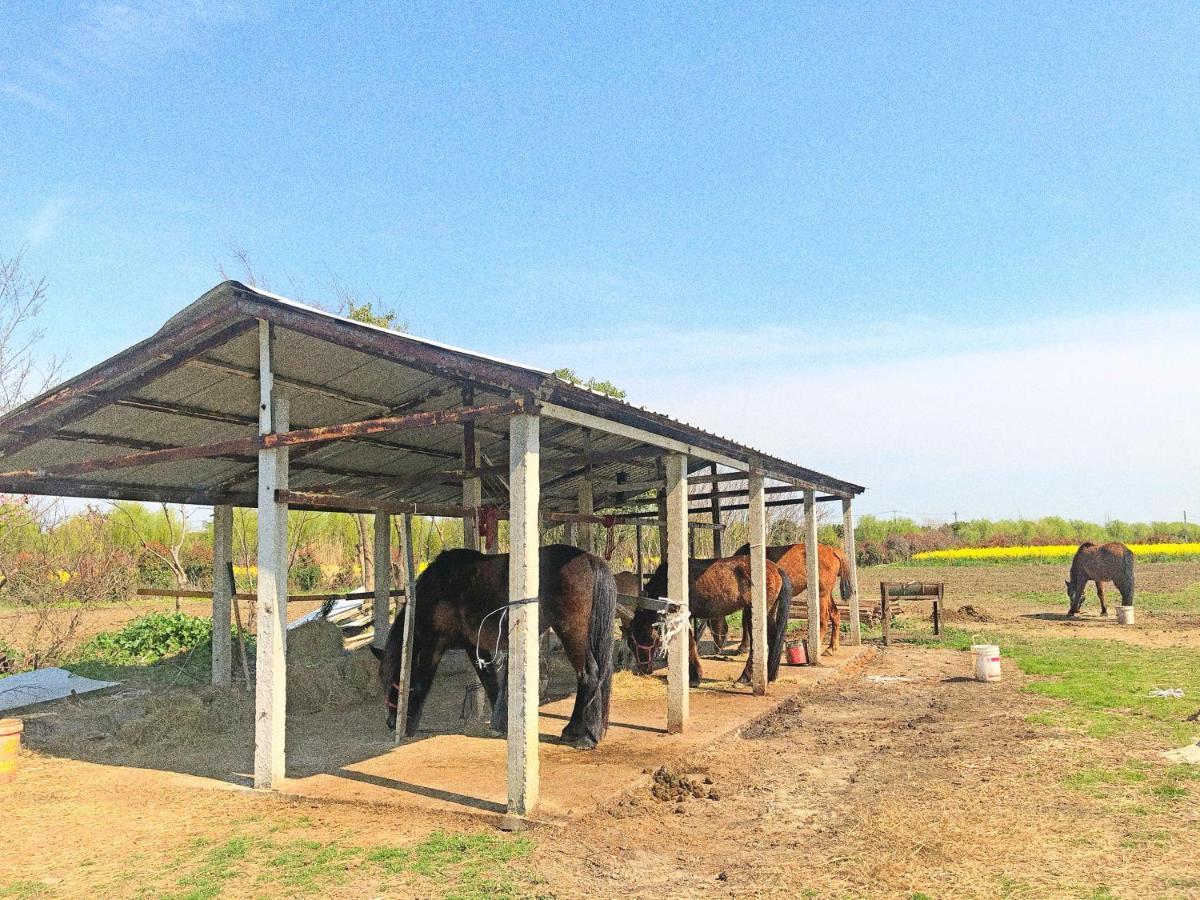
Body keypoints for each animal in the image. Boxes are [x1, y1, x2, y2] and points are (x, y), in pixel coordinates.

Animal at [372, 547, 619, 748]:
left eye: (394, 680)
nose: (390, 722)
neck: (440, 587)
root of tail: (590, 559)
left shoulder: (435, 645)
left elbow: (423, 682)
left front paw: (408, 725)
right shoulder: (474, 646)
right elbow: (490, 682)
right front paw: (502, 724)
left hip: (571, 633)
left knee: (588, 674)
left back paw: (578, 735)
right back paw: (590, 732)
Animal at [624, 554, 792, 686]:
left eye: (634, 642)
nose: (643, 670)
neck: (666, 581)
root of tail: (776, 568)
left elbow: (690, 643)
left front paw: (694, 677)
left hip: (754, 614)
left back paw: (744, 678)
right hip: (769, 612)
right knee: (773, 638)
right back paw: (771, 675)